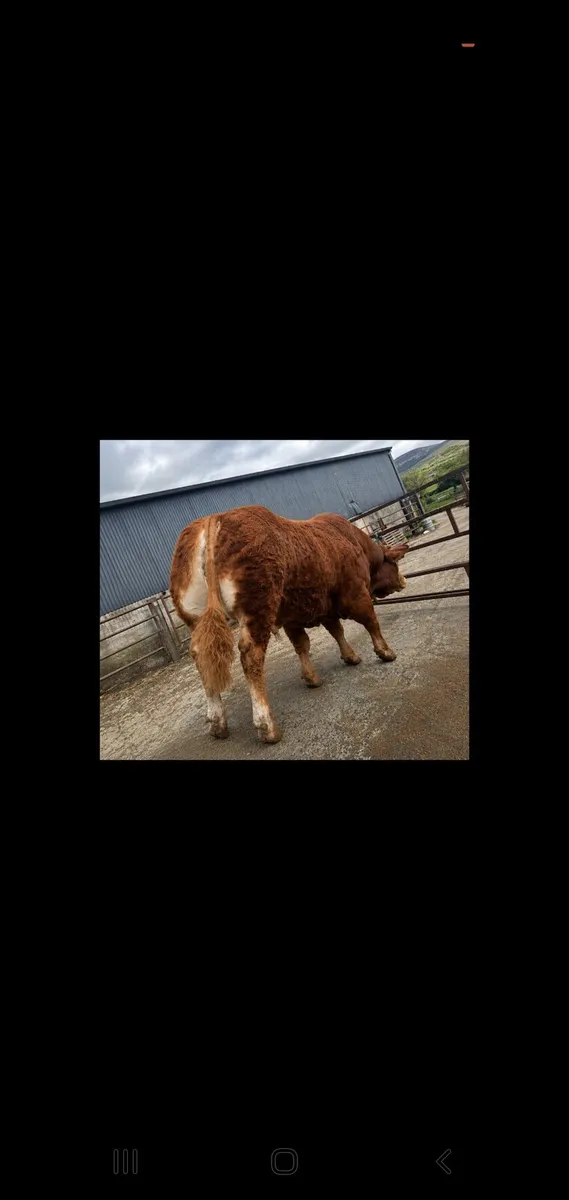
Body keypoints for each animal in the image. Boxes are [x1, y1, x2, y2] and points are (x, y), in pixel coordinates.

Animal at [170, 505, 408, 744]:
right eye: (395, 564)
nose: (403, 582)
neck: (353, 541)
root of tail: (214, 518)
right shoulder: (356, 594)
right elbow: (371, 622)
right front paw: (385, 652)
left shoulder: (308, 611)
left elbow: (320, 637)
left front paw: (330, 667)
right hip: (258, 609)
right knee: (251, 656)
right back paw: (266, 725)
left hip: (195, 617)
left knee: (201, 655)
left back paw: (217, 722)